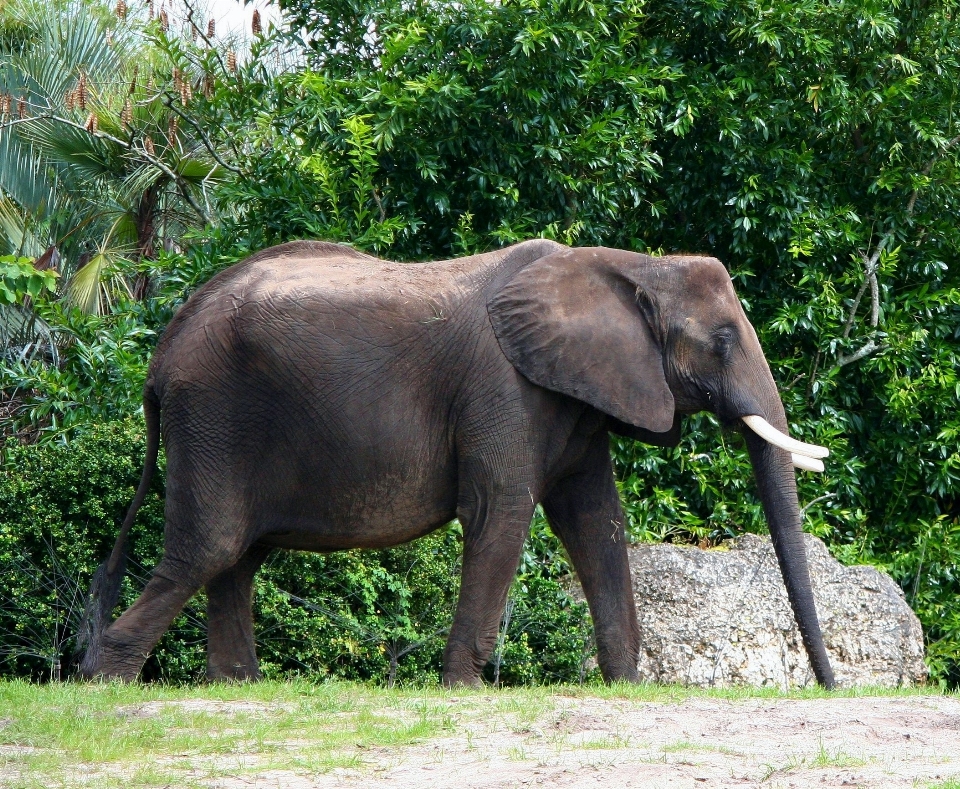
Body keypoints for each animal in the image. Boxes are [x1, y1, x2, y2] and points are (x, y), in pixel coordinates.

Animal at [77, 237, 832, 688]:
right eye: (724, 339)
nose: (830, 686)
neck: (629, 264)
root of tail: (165, 346)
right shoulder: (501, 387)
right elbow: (502, 510)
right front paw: (465, 687)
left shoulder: (576, 399)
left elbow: (595, 521)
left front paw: (626, 685)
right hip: (212, 414)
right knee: (211, 545)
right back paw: (106, 680)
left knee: (238, 556)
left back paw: (240, 686)